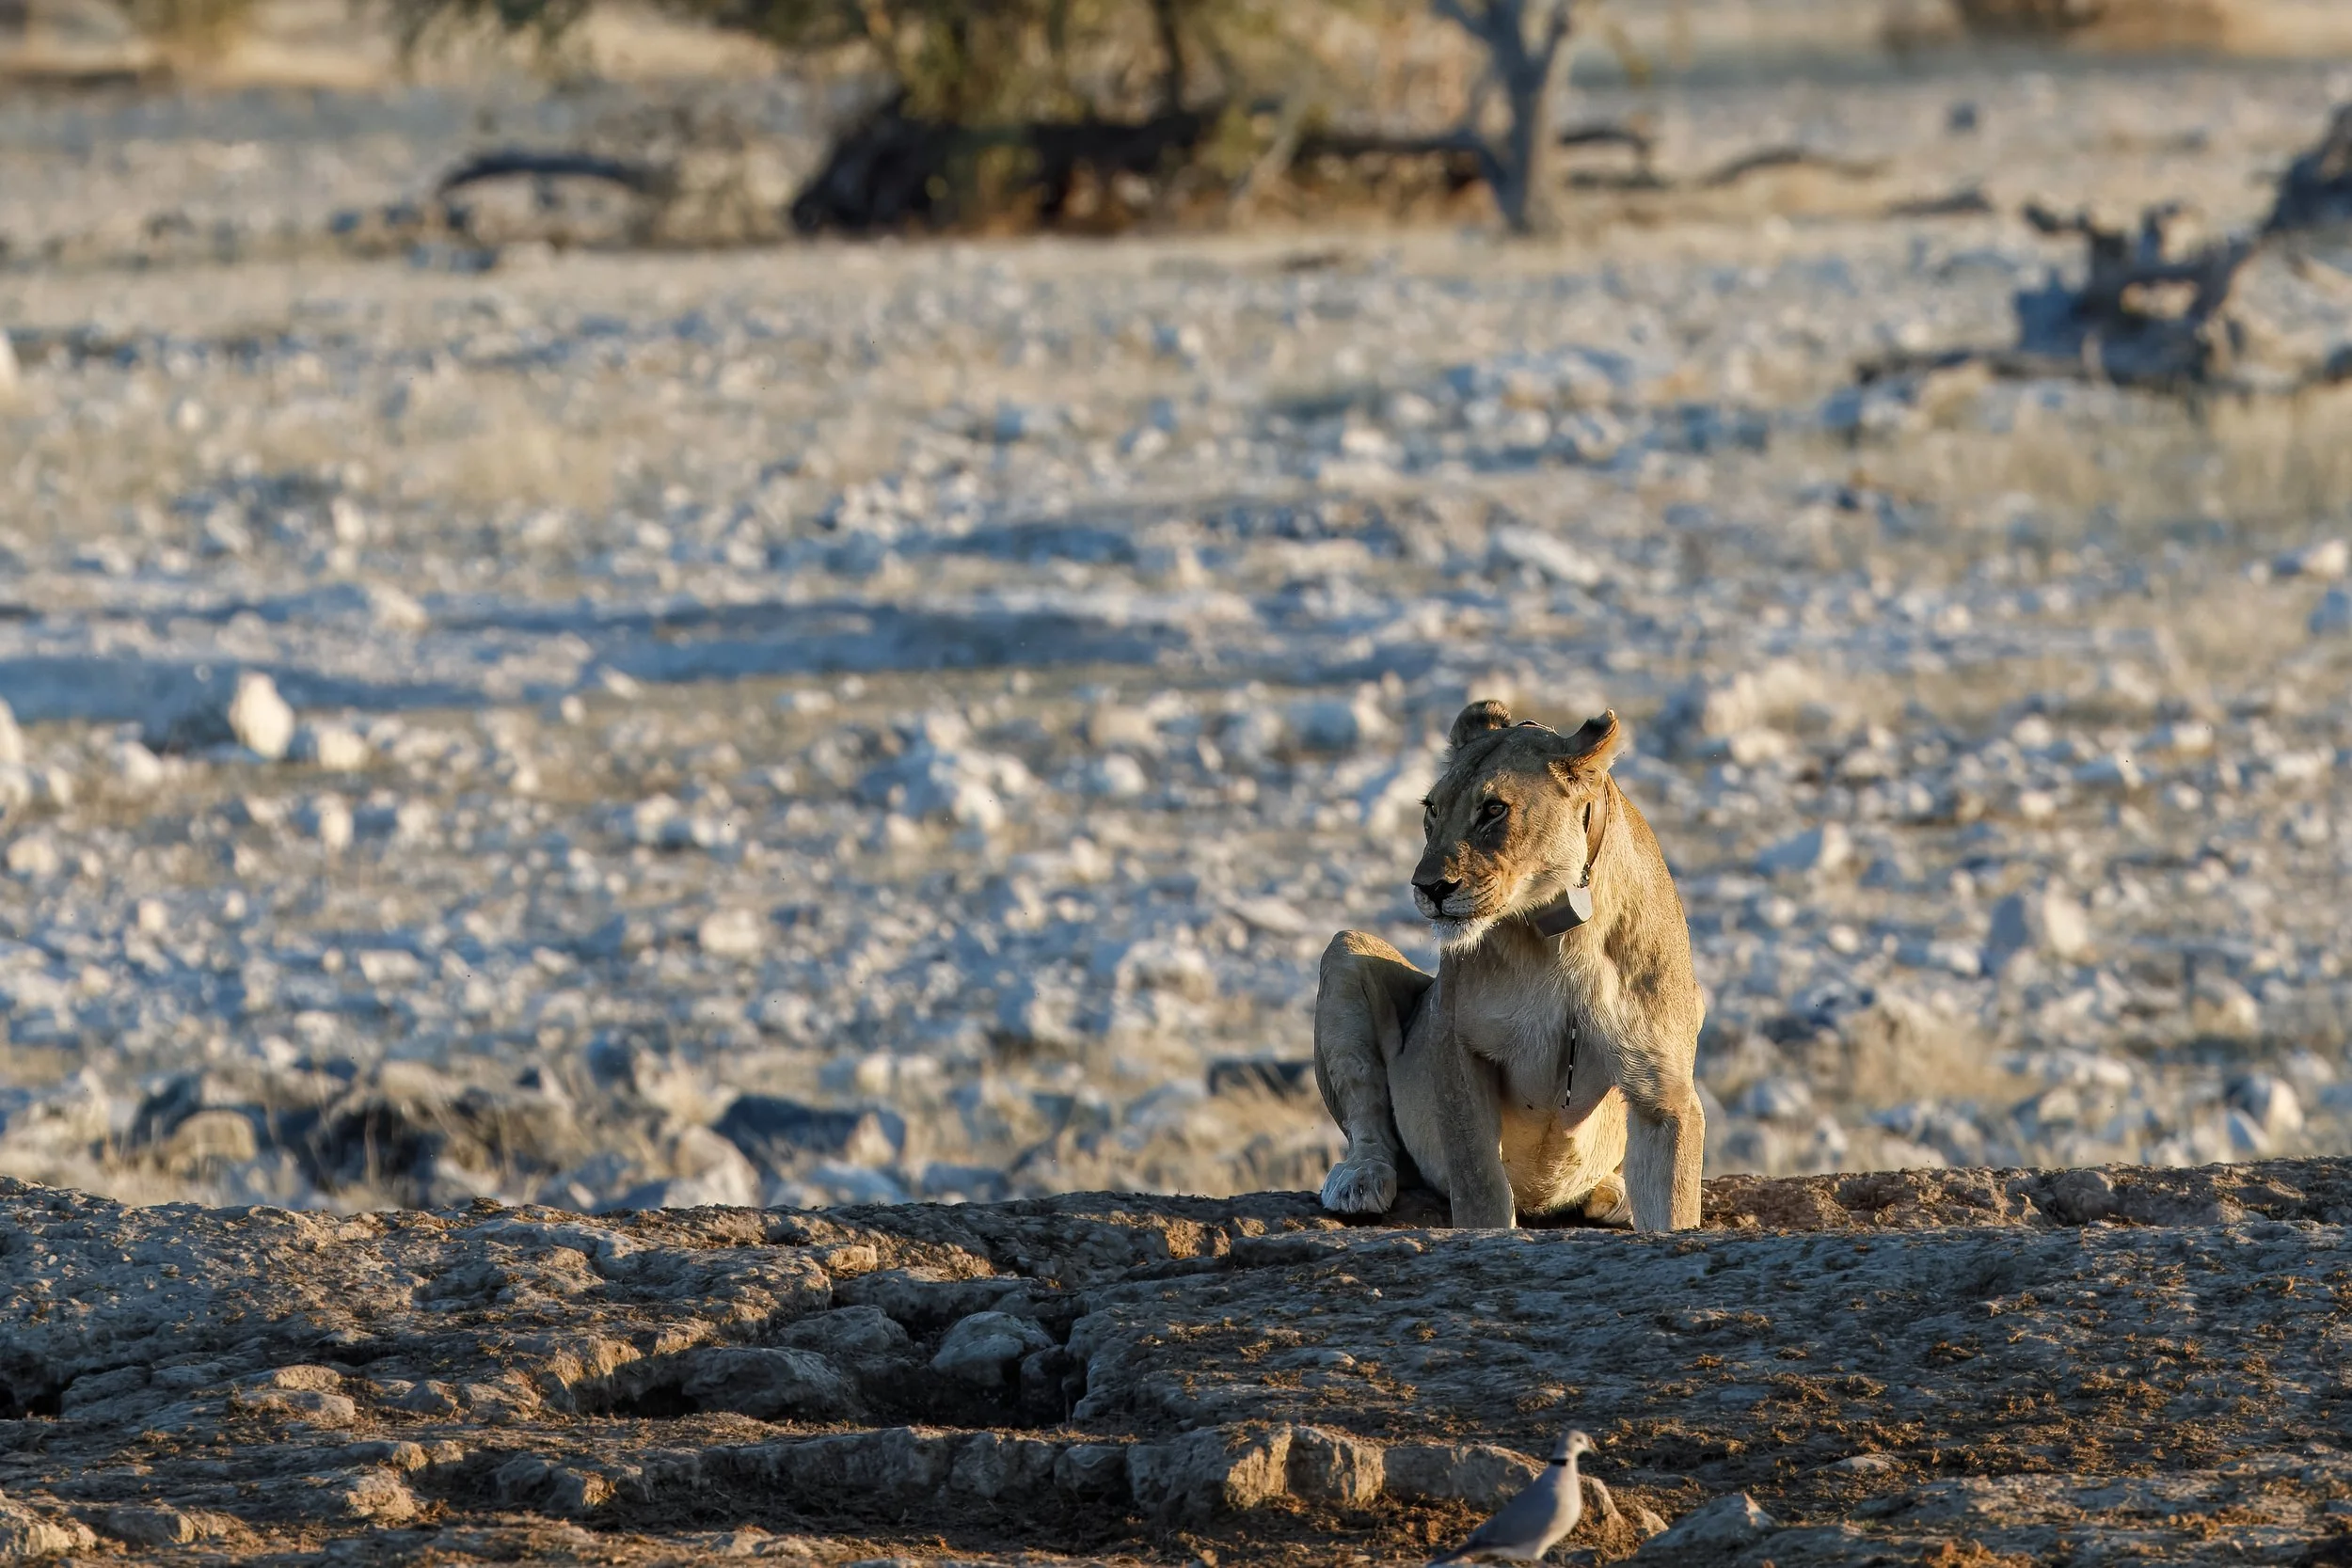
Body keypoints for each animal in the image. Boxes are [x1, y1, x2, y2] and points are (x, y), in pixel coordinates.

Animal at [1312, 701, 1706, 1231]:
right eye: (1432, 809)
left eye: (1494, 809)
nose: (1428, 887)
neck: (1561, 934)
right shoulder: (1454, 1046)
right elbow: (1480, 1186)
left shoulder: (1665, 1091)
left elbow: (1674, 1208)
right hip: (1346, 950)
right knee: (1368, 1118)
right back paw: (1358, 1180)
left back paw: (1615, 1193)